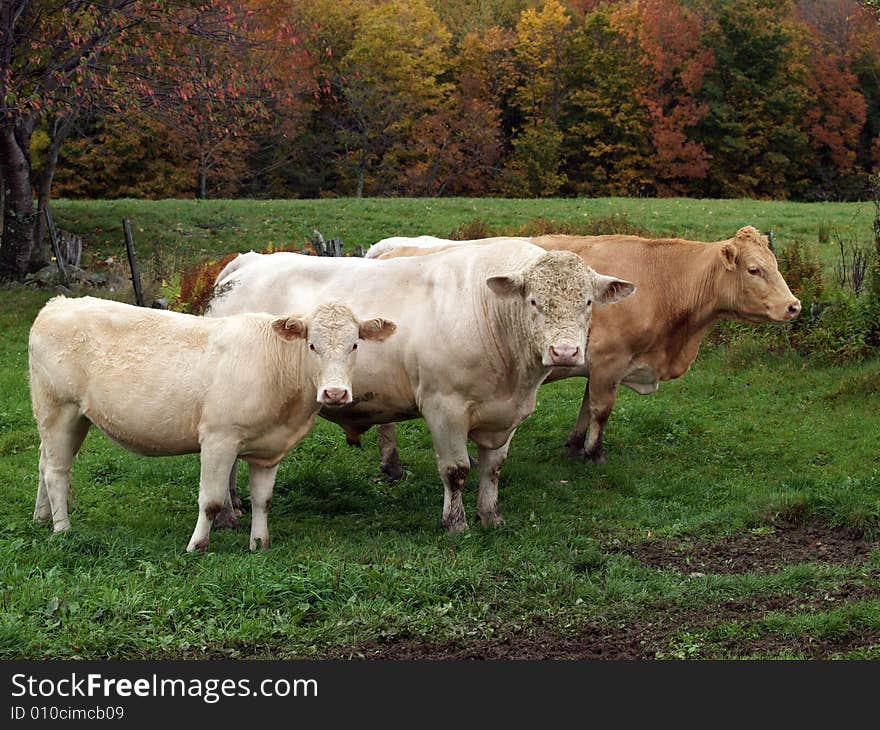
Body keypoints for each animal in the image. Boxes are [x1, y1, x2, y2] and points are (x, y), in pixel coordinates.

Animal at [28, 292, 396, 548]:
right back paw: (62, 530)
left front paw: (259, 543)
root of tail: (57, 304)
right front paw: (198, 544)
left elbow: (263, 499)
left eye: (354, 344)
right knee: (57, 472)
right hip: (57, 409)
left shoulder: (269, 449)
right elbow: (212, 500)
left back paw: (41, 517)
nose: (334, 393)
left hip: (71, 417)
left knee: (44, 463)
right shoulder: (218, 438)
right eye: (312, 345)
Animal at [206, 242, 632, 532]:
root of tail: (250, 262)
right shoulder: (444, 406)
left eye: (587, 302)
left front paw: (491, 516)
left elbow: (493, 469)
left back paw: (236, 504)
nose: (565, 351)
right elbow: (456, 469)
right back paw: (227, 513)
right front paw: (456, 523)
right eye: (533, 301)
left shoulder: (505, 415)